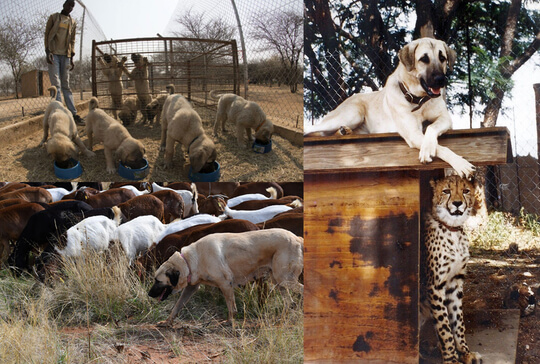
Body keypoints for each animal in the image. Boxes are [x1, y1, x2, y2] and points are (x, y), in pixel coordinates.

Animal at [306, 37, 474, 178]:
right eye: (424, 59)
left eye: (442, 58)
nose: (440, 79)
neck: (418, 100)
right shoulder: (413, 134)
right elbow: (440, 147)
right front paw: (458, 162)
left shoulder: (444, 118)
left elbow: (431, 128)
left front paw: (429, 146)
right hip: (352, 114)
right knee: (313, 129)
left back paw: (344, 131)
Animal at [420, 175, 484, 362]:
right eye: (446, 191)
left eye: (466, 190)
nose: (457, 203)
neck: (452, 230)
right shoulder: (435, 286)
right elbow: (444, 327)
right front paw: (451, 359)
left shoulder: (455, 282)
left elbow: (457, 321)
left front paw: (465, 353)